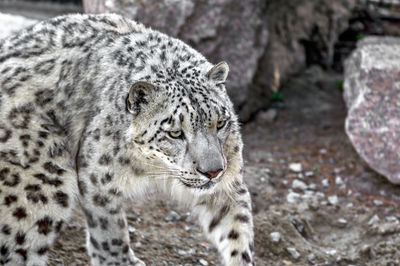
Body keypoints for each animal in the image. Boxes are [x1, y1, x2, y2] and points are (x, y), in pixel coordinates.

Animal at [0, 13, 255, 266]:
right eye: (175, 133)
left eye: (220, 123)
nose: (213, 171)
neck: (151, 168)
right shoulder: (98, 177)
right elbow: (109, 231)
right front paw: (118, 259)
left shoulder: (229, 183)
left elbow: (238, 232)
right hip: (42, 184)